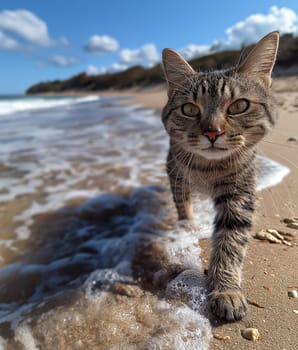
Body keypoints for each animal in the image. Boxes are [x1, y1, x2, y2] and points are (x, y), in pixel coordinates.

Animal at [161, 31, 280, 322]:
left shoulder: (239, 192)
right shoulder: (175, 172)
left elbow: (231, 239)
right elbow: (183, 205)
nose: (212, 132)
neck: (207, 169)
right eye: (190, 109)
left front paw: (226, 290)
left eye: (239, 106)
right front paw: (187, 226)